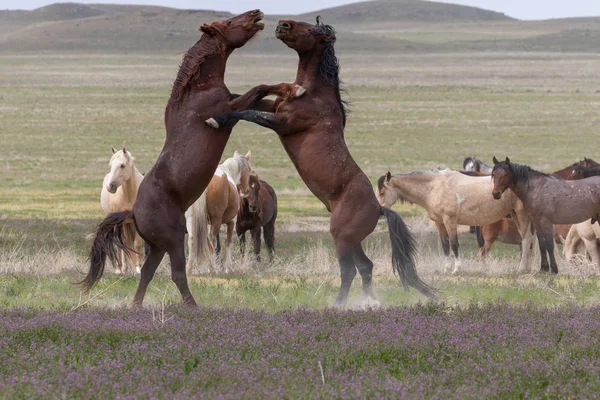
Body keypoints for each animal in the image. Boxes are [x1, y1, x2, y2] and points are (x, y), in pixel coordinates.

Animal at [100, 147, 145, 276]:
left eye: (122, 165)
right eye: (111, 165)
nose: (109, 187)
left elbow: (137, 243)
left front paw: (138, 268)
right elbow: (122, 244)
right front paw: (123, 269)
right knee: (120, 244)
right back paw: (120, 269)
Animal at [206, 15, 436, 304]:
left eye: (312, 30)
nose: (282, 24)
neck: (315, 94)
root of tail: (379, 208)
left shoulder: (283, 123)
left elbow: (248, 112)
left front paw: (217, 119)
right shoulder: (274, 108)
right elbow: (254, 98)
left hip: (341, 237)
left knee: (350, 270)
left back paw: (339, 304)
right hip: (352, 240)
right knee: (366, 266)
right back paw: (367, 302)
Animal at [378, 169, 532, 276]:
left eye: (382, 192)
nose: (379, 212)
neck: (434, 187)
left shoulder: (450, 220)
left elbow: (454, 244)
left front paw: (456, 269)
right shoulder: (440, 223)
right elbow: (445, 245)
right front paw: (446, 269)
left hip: (521, 215)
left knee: (526, 240)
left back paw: (522, 269)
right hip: (515, 215)